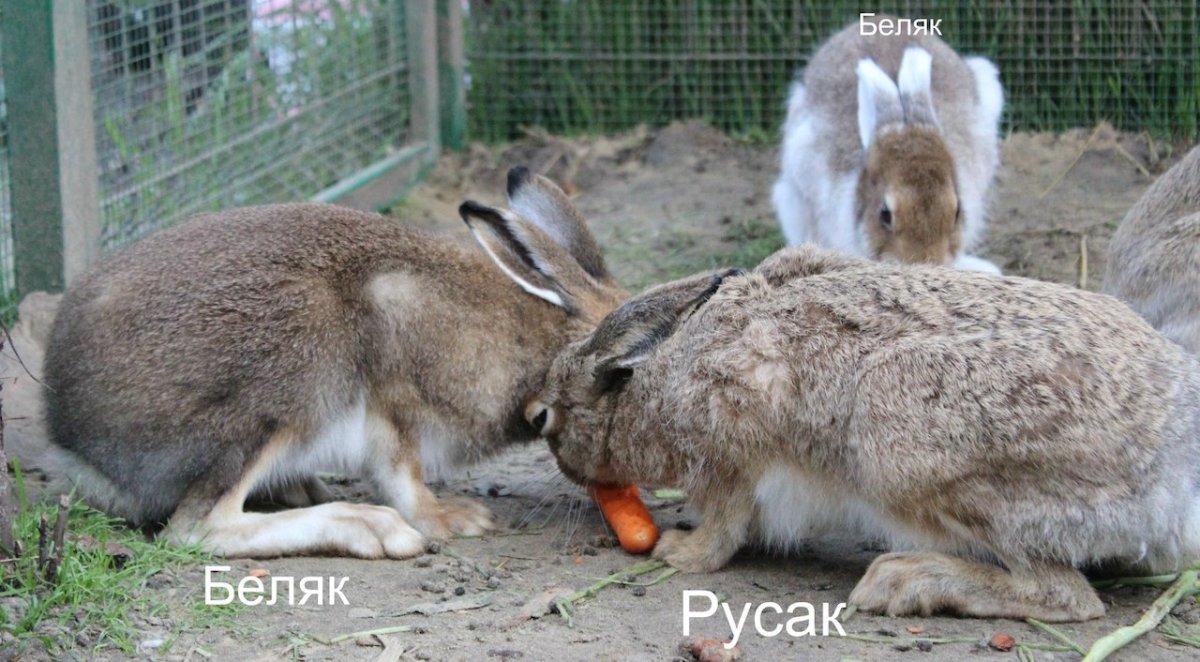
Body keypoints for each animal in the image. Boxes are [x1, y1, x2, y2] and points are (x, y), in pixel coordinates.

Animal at [42, 167, 627, 559]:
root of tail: (75, 440)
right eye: (622, 372)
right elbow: (402, 474)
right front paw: (452, 519)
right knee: (199, 528)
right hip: (296, 374)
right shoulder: (395, 395)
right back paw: (367, 527)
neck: (540, 335)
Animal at [526, 245, 1200, 621]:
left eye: (545, 419)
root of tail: (1176, 478)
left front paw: (679, 552)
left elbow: (725, 522)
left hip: (897, 437)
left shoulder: (732, 455)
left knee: (1067, 597)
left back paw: (904, 583)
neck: (657, 374)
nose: (563, 463)